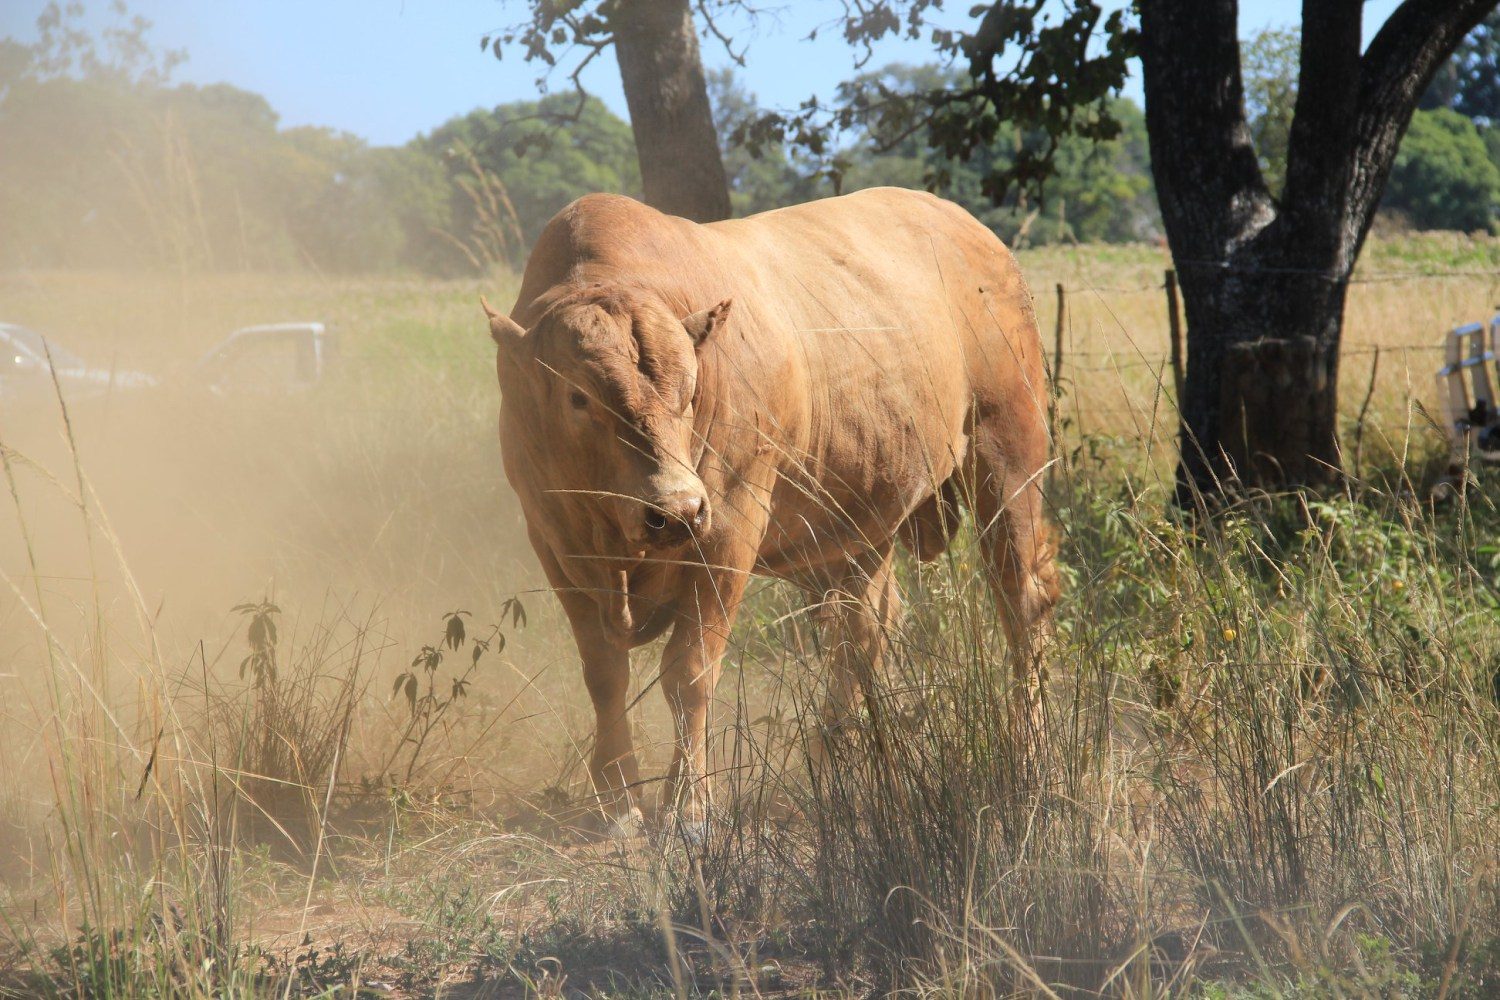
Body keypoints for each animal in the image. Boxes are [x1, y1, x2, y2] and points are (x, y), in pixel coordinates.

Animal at [486, 187, 1062, 827]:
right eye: (577, 397)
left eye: (691, 390)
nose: (678, 509)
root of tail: (977, 236)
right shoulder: (554, 542)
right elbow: (604, 673)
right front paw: (617, 801)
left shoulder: (728, 531)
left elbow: (689, 671)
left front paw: (689, 805)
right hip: (862, 519)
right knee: (863, 630)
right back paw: (839, 758)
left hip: (1009, 460)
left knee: (1020, 605)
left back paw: (1032, 753)